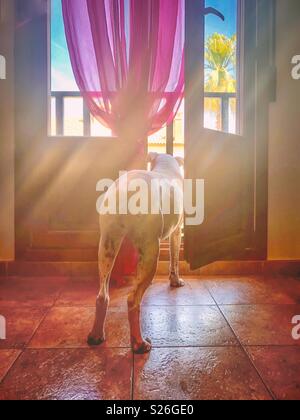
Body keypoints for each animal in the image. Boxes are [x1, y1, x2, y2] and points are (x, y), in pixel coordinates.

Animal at [88, 153, 184, 352]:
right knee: (133, 300)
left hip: (107, 247)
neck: (166, 167)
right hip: (151, 250)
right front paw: (176, 280)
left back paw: (96, 335)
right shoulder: (177, 232)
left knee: (102, 295)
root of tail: (127, 190)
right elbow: (175, 260)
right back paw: (139, 343)